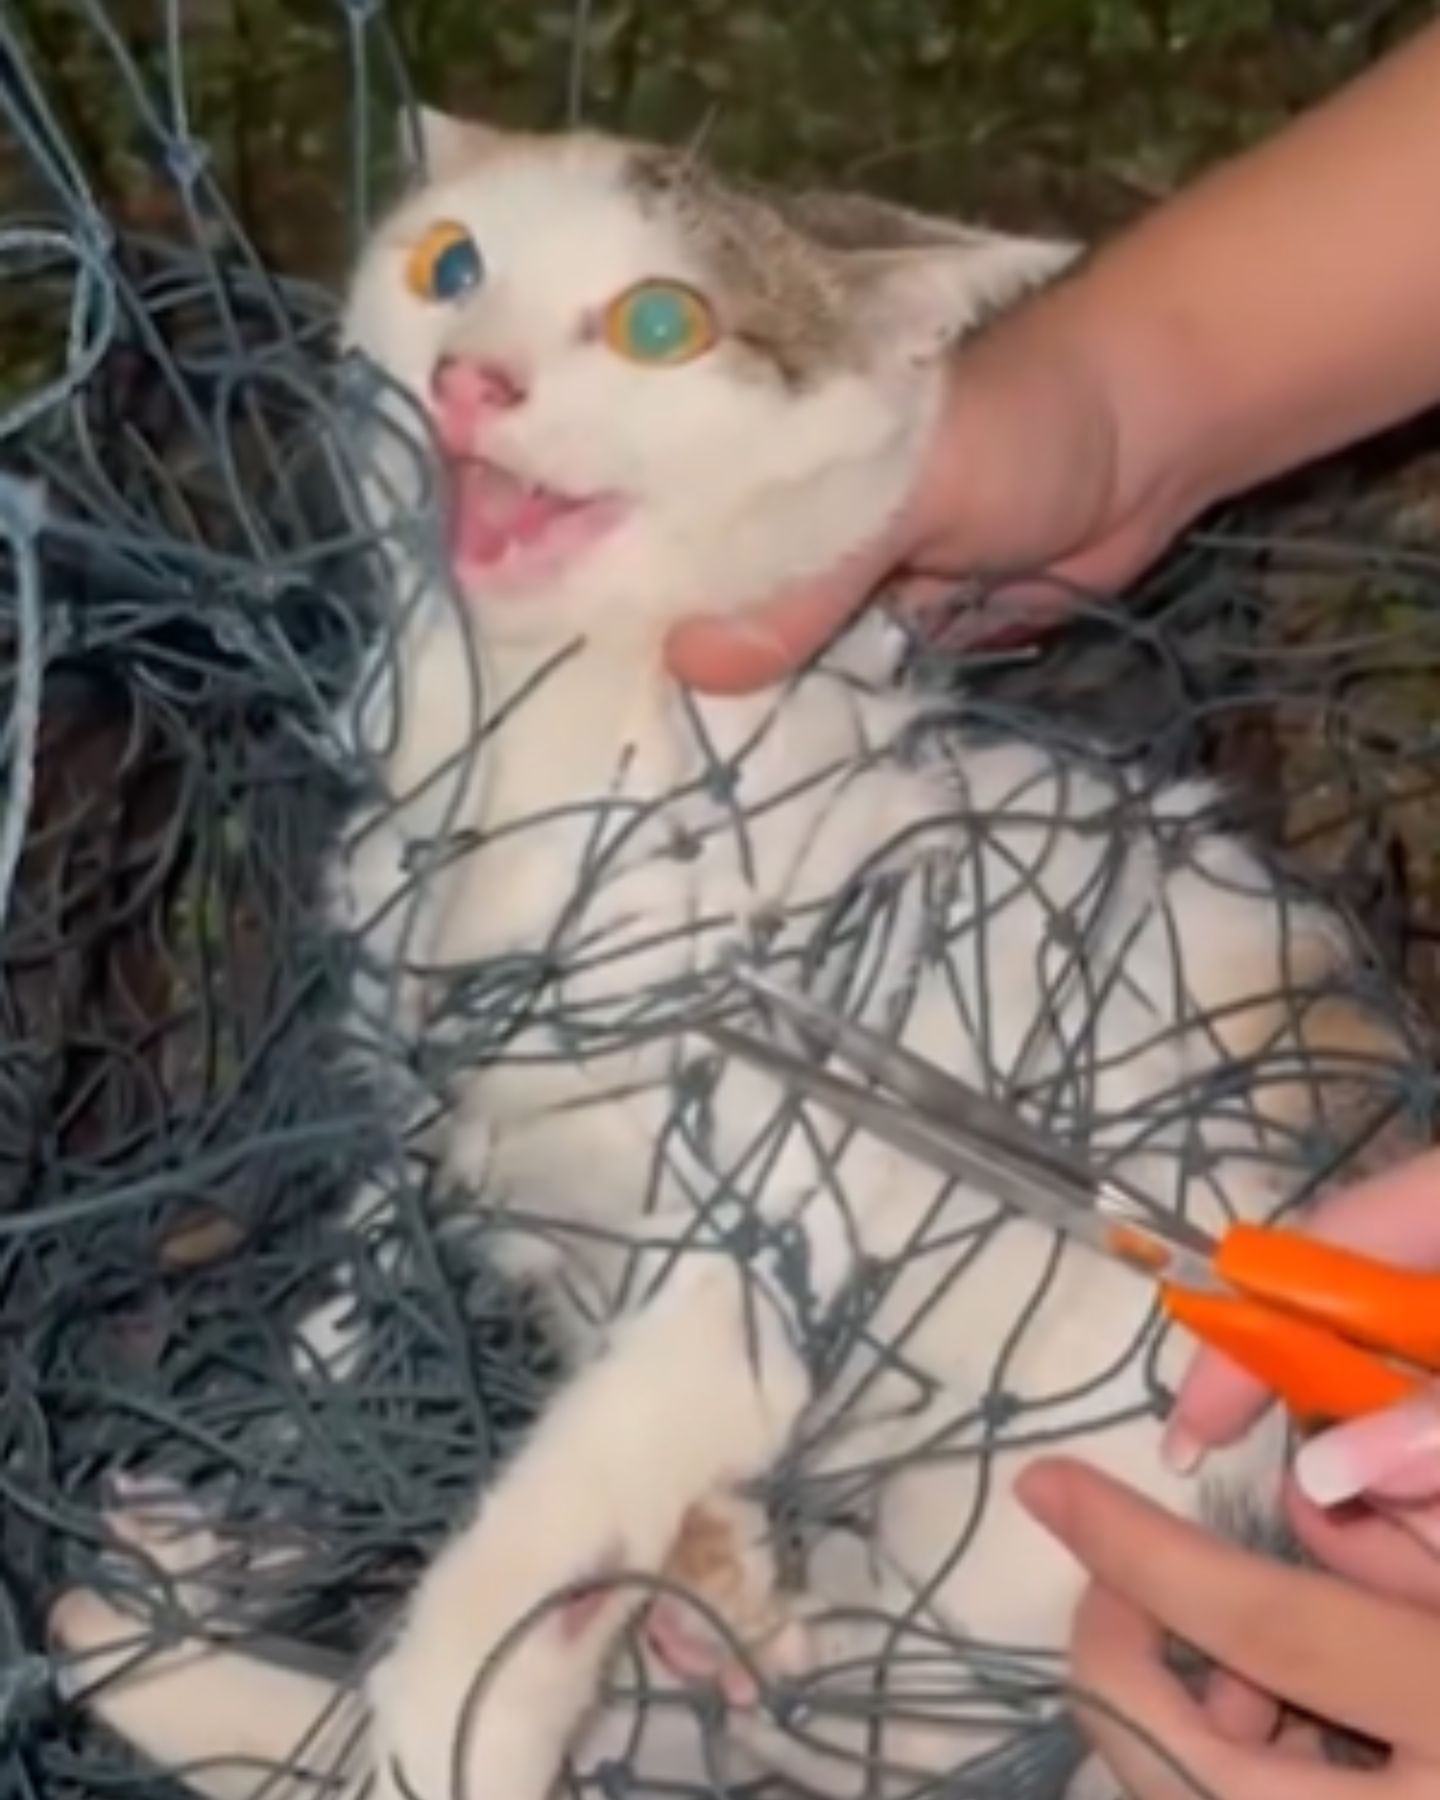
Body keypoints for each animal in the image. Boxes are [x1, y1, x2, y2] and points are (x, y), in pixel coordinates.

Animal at [50, 105, 1411, 1800]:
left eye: (658, 324)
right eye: (453, 267)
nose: (474, 378)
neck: (541, 741)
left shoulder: (758, 1233)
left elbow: (538, 1525)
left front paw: (441, 1716)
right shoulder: (435, 1106)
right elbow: (354, 1313)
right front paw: (260, 1513)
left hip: (1089, 1485)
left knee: (896, 1737)